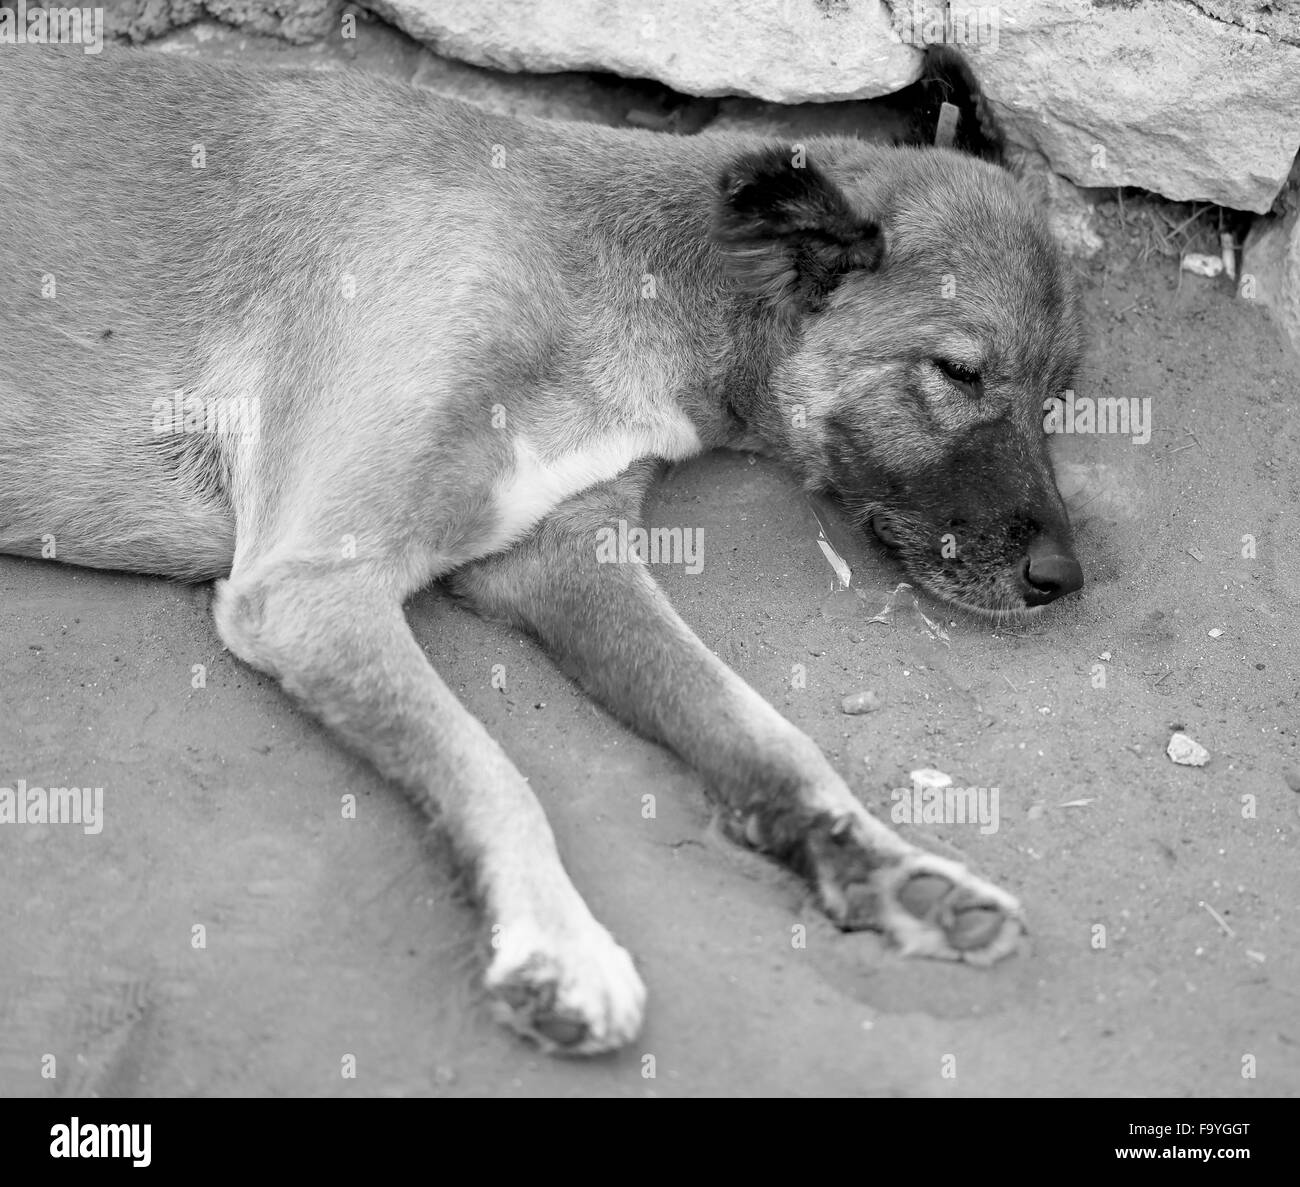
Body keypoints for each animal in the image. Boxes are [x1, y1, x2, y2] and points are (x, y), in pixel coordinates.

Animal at [0, 41, 1086, 1050]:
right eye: (956, 371)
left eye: (1057, 395)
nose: (1063, 580)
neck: (615, 262)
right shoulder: (309, 584)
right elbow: (491, 765)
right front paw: (557, 942)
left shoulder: (559, 556)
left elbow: (751, 722)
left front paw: (880, 863)